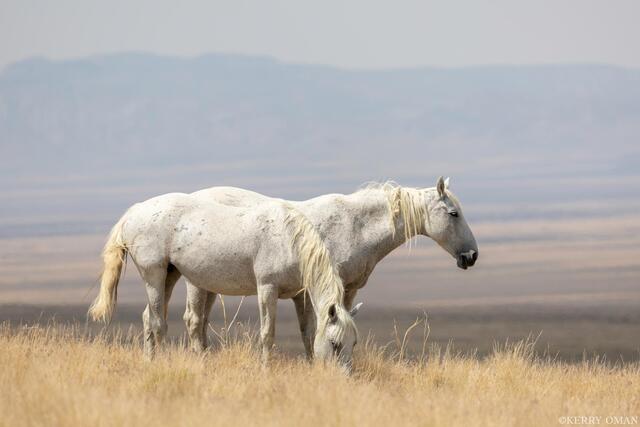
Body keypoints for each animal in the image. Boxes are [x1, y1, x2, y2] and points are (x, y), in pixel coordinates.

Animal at [88, 194, 360, 371]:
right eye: (335, 343)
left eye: (353, 343)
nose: (343, 378)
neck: (288, 238)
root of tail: (134, 211)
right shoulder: (267, 289)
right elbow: (267, 333)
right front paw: (266, 370)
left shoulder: (299, 295)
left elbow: (308, 333)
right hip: (153, 275)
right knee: (157, 323)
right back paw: (160, 365)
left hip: (169, 276)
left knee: (148, 318)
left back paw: (149, 362)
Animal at [182, 177, 478, 356]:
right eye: (454, 214)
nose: (472, 255)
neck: (355, 226)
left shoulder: (343, 290)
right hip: (197, 284)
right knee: (194, 321)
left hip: (210, 285)